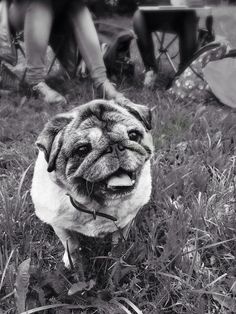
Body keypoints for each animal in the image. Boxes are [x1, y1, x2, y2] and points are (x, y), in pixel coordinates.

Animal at [30, 100, 153, 268]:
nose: (114, 146)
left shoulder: (125, 223)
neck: (96, 205)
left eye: (133, 135)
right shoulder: (61, 226)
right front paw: (74, 262)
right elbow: (71, 245)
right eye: (82, 149)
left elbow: (118, 243)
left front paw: (117, 260)